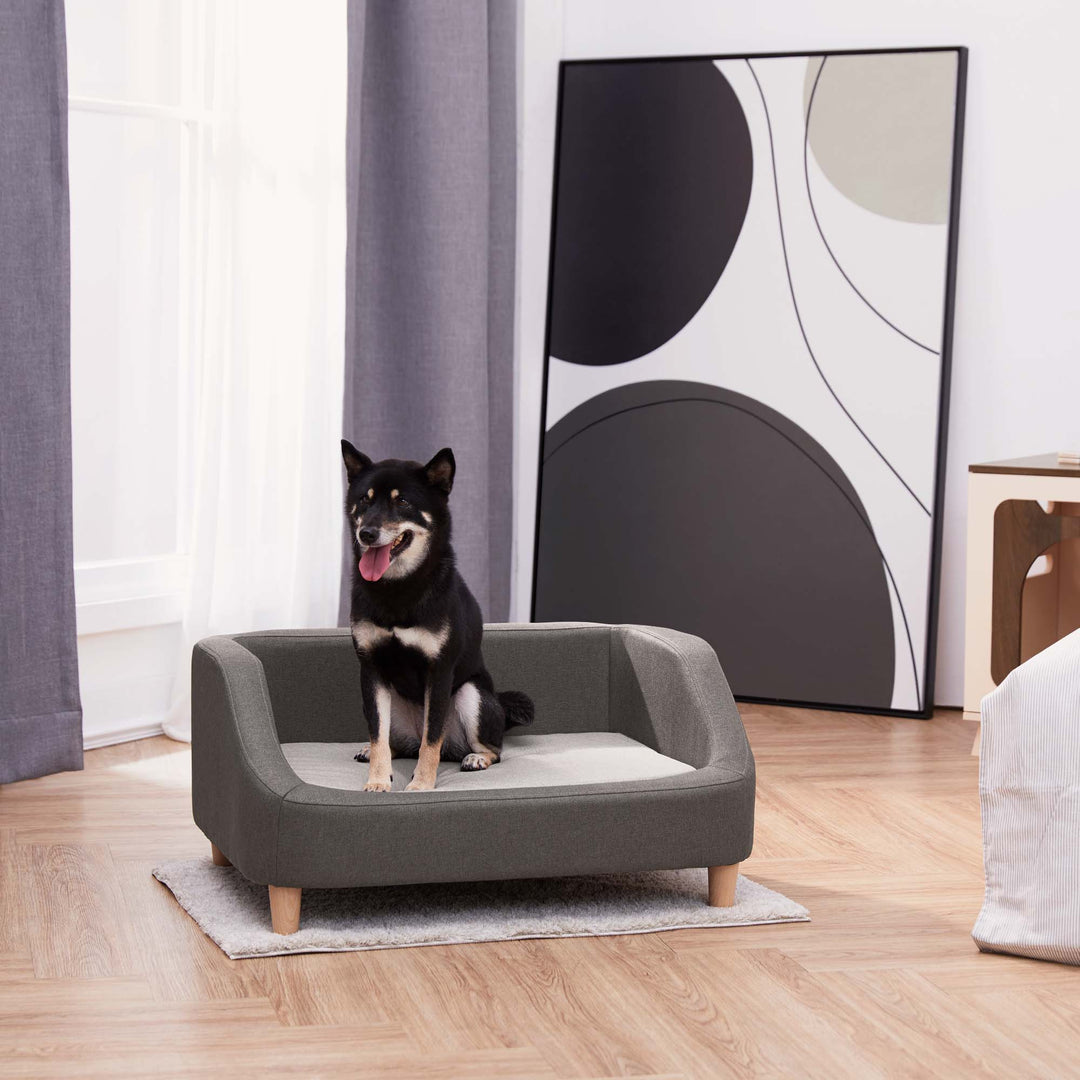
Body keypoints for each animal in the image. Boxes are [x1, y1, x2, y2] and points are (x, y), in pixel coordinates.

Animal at [343, 440, 533, 794]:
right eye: (364, 499)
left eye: (402, 501)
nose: (366, 533)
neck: (399, 587)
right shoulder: (371, 669)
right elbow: (377, 734)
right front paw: (378, 781)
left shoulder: (439, 670)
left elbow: (432, 739)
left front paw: (420, 785)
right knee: (393, 742)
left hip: (472, 695)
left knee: (492, 749)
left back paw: (477, 758)